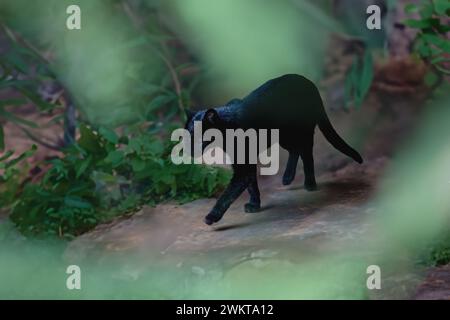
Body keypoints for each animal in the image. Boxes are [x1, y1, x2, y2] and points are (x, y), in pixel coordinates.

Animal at [185, 74, 364, 226]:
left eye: (198, 137)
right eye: (187, 135)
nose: (188, 150)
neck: (226, 128)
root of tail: (309, 83)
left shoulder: (244, 166)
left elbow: (228, 194)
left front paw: (211, 216)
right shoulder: (245, 162)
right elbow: (252, 185)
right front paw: (255, 205)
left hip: (302, 131)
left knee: (307, 154)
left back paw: (309, 184)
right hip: (285, 136)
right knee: (296, 150)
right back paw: (287, 178)